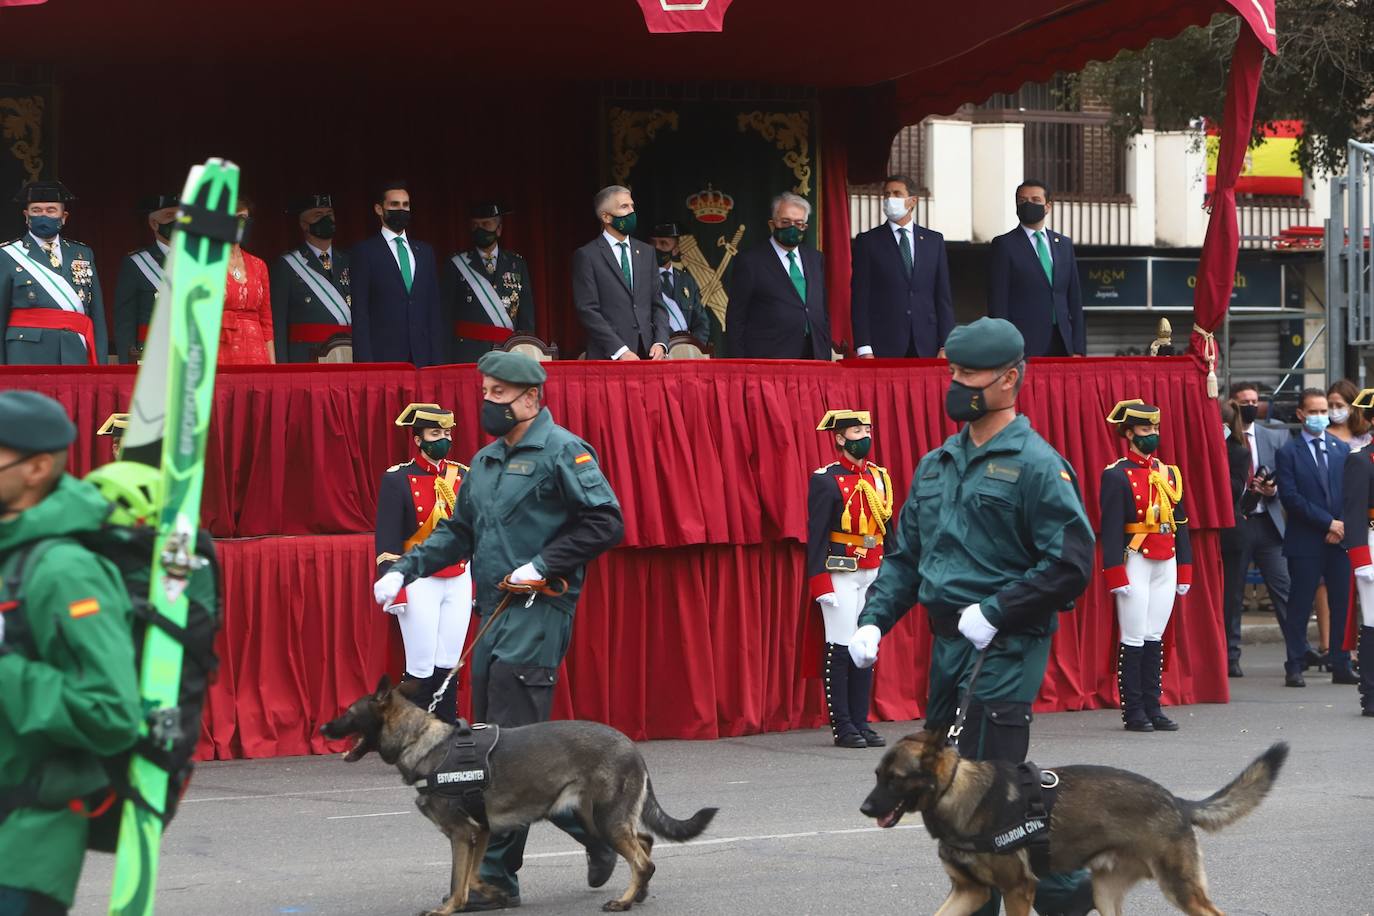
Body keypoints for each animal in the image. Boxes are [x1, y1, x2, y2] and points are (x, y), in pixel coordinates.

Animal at [321, 678, 719, 911]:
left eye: (347, 712)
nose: (323, 728)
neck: (420, 740)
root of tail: (631, 745)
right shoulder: (479, 832)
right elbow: (472, 877)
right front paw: (492, 895)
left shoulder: (462, 835)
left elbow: (457, 880)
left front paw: (448, 908)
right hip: (595, 816)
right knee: (645, 842)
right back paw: (638, 894)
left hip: (604, 819)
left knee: (643, 860)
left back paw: (623, 901)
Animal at [857, 730, 1286, 916]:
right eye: (876, 775)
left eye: (894, 779)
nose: (863, 808)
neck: (955, 794)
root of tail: (1176, 801)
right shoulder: (970, 892)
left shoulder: (1017, 890)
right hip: (1106, 895)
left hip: (1180, 888)